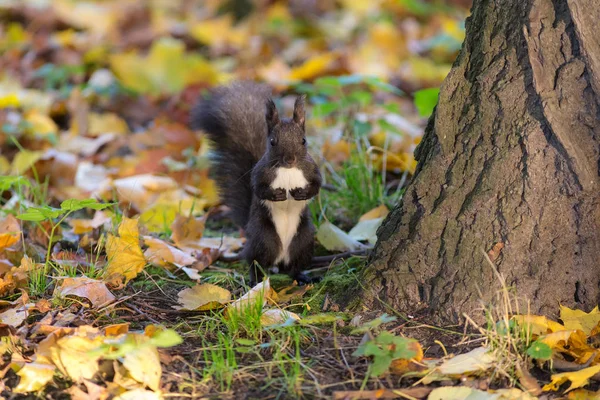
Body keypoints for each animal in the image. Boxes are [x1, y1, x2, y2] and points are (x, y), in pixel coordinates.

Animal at [192, 82, 324, 284]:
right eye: (273, 141)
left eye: (303, 140)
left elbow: (317, 185)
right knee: (255, 262)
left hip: (304, 240)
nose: (290, 159)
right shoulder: (260, 172)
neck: (288, 170)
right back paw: (256, 281)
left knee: (294, 267)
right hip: (264, 239)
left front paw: (302, 193)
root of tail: (280, 260)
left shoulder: (311, 170)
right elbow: (257, 188)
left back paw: (302, 277)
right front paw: (276, 194)